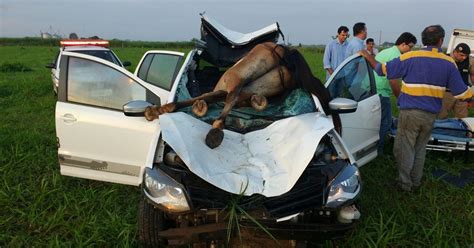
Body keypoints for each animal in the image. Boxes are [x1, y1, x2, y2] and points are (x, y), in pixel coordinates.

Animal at [144, 42, 340, 148]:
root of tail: (284, 51)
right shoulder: (223, 92)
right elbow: (200, 98)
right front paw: (158, 110)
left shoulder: (226, 88)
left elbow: (209, 98)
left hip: (242, 72)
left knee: (232, 97)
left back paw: (215, 133)